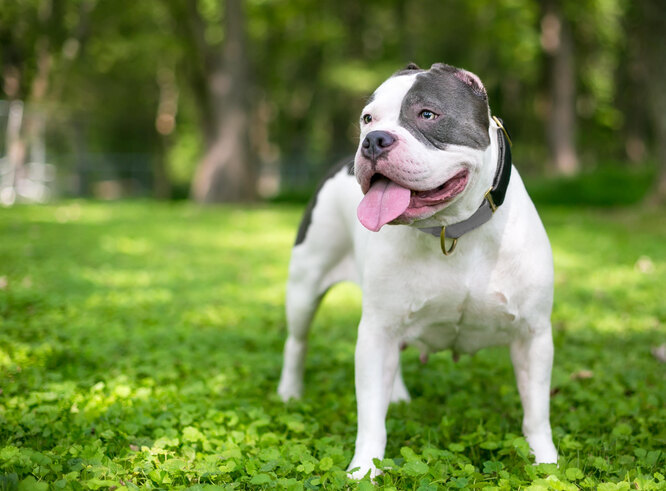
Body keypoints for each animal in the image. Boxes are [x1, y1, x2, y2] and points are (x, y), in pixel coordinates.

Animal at [274, 62, 556, 480]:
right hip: (305, 287)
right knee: (297, 341)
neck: (452, 229)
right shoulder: (376, 332)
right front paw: (364, 471)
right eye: (368, 118)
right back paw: (290, 394)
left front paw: (547, 464)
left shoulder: (532, 334)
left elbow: (536, 411)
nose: (373, 140)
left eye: (427, 115)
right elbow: (370, 415)